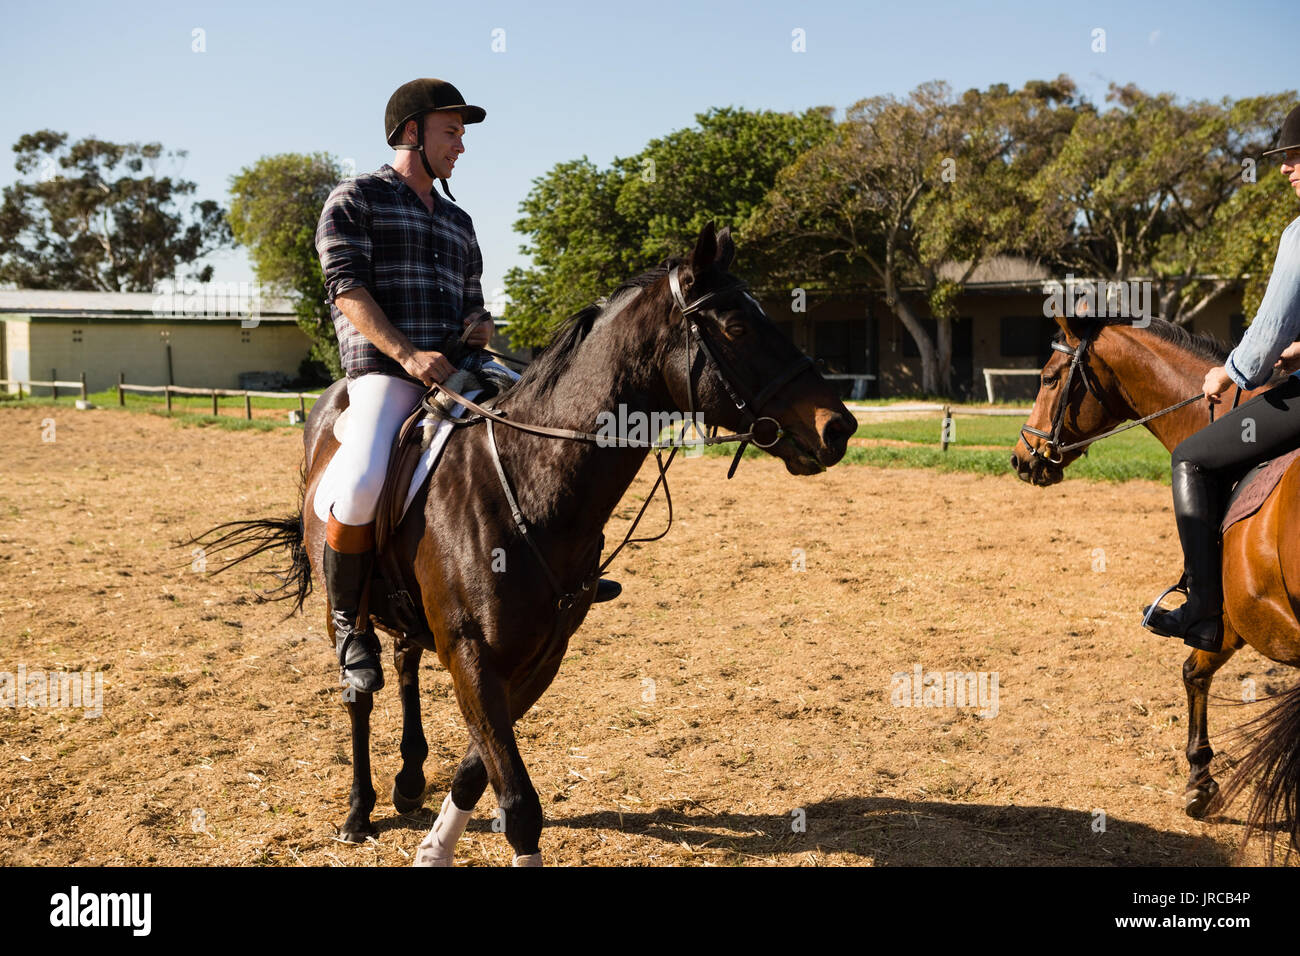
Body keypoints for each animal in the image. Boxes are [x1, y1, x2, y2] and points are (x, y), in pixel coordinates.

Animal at [194, 223, 857, 865]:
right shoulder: (471, 654)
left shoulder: (541, 656)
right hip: (348, 607)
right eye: (737, 325)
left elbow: (478, 770)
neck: (527, 479)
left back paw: (409, 780)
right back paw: (359, 810)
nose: (840, 426)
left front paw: (434, 845)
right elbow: (516, 799)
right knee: (358, 690)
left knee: (406, 663)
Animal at [1011, 311, 1300, 859]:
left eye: (1049, 378)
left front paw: (1199, 779)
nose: (1021, 457)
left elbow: (1192, 670)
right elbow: (1196, 672)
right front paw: (1202, 779)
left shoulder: (1231, 615)